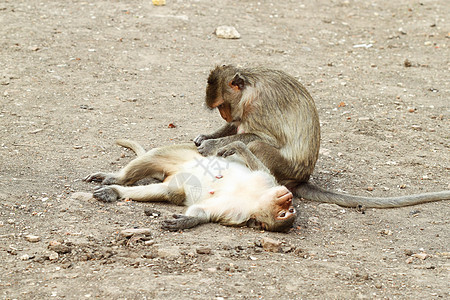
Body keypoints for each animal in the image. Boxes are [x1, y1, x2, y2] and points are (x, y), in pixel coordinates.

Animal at [83, 139, 296, 233]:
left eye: (286, 212)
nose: (289, 197)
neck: (254, 199)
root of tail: (173, 171)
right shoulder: (266, 183)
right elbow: (258, 167)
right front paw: (237, 146)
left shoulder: (237, 213)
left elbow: (202, 211)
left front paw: (187, 221)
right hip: (181, 153)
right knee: (151, 158)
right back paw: (117, 180)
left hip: (175, 178)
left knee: (168, 191)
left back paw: (115, 191)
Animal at [194, 64, 450, 207]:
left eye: (222, 105)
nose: (224, 114)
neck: (251, 86)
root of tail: (301, 179)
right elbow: (238, 124)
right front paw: (205, 137)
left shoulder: (260, 107)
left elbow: (266, 138)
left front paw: (212, 145)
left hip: (284, 168)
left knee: (257, 147)